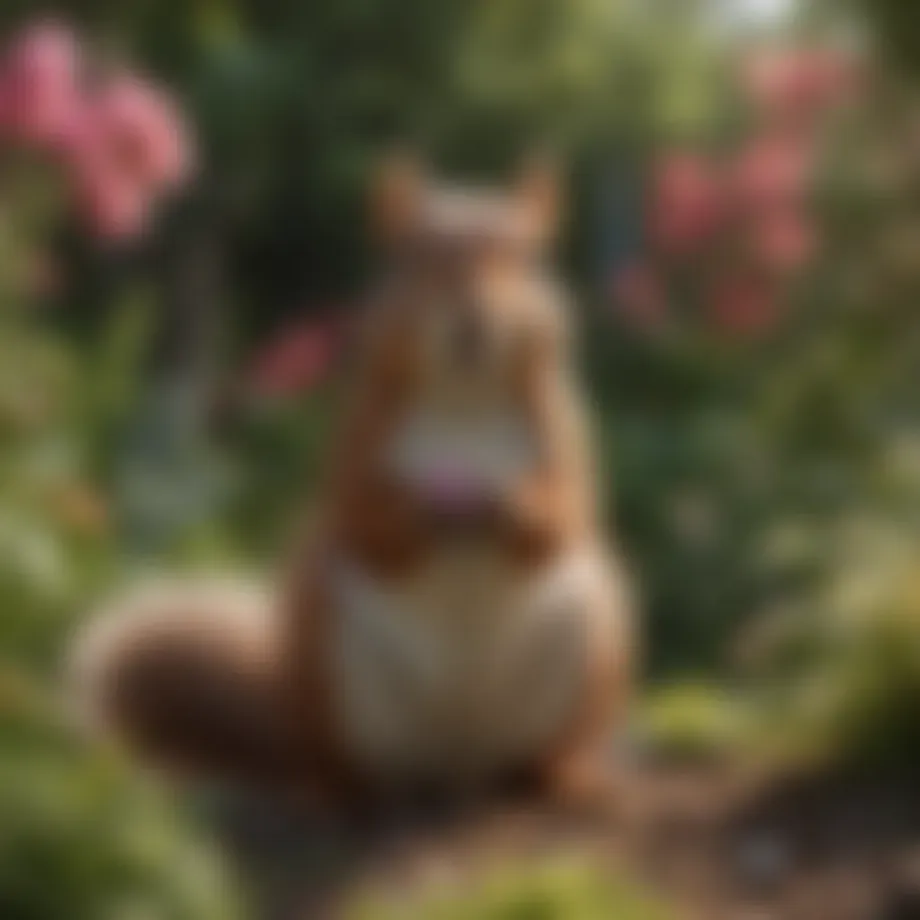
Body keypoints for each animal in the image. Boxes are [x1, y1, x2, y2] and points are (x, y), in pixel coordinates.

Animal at [70, 156, 635, 811]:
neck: (463, 396)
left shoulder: (565, 433)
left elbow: (571, 508)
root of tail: (458, 764)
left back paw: (571, 779)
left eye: (520, 258)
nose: (472, 321)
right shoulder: (356, 442)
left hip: (594, 646)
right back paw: (345, 794)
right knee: (340, 766)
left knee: (543, 758)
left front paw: (518, 506)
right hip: (325, 661)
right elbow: (360, 513)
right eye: (419, 258)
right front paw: (413, 516)